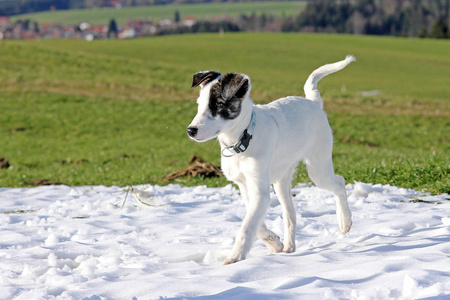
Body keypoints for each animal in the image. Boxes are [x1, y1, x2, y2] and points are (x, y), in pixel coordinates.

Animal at [186, 55, 356, 264]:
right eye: (199, 104)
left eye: (218, 105)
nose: (191, 130)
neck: (243, 138)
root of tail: (313, 103)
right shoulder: (244, 185)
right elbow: (255, 222)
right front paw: (273, 242)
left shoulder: (259, 189)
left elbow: (248, 226)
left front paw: (235, 257)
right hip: (282, 179)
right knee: (290, 213)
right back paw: (289, 248)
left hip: (318, 167)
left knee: (339, 183)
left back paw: (345, 221)